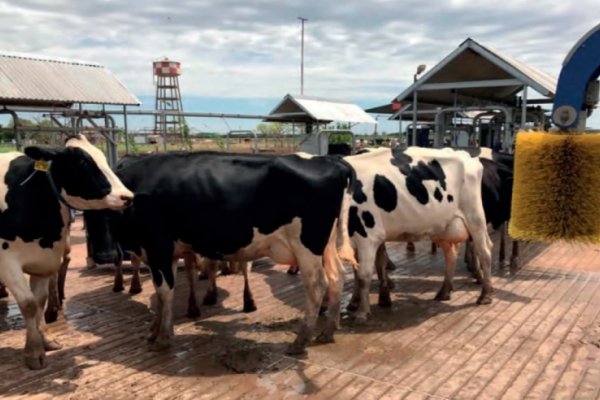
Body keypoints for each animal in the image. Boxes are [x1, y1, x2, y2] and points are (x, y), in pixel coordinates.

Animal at [0, 136, 132, 370]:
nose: (127, 196)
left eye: (102, 157)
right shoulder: (7, 261)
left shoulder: (43, 261)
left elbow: (39, 300)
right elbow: (28, 304)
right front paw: (34, 352)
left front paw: (46, 340)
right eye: (83, 162)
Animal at [86, 152, 354, 354]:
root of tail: (330, 160)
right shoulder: (163, 253)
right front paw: (155, 330)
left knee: (317, 285)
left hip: (307, 247)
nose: (103, 255)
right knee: (337, 277)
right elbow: (162, 293)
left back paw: (300, 341)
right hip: (326, 245)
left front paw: (162, 338)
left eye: (111, 211)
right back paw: (328, 331)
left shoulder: (157, 245)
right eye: (88, 215)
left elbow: (164, 291)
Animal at [338, 147, 492, 322]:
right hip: (443, 226)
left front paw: (362, 312)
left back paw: (485, 295)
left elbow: (363, 275)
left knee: (485, 252)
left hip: (475, 219)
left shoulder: (368, 236)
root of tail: (465, 155)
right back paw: (444, 291)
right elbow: (357, 272)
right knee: (451, 255)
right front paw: (354, 302)